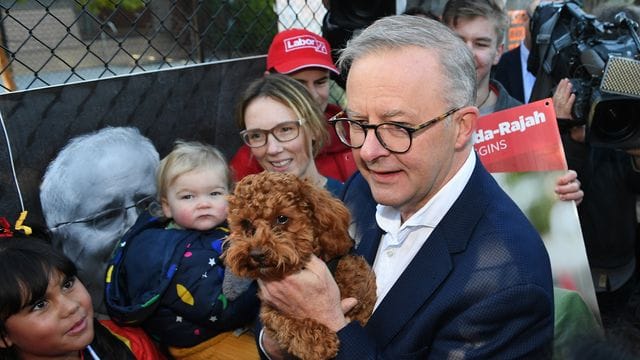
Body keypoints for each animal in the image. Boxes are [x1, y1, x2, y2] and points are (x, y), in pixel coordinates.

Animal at [224, 172, 376, 360]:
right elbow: (281, 319)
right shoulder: (269, 309)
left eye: (282, 218)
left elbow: (361, 311)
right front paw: (317, 341)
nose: (257, 254)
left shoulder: (361, 293)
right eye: (245, 224)